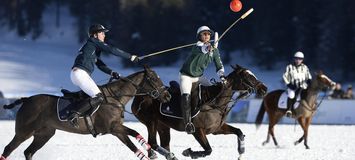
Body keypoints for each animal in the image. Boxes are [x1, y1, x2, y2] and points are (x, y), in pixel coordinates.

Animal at [0, 66, 172, 160]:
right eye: (153, 79)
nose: (168, 96)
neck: (115, 98)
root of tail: (26, 99)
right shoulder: (112, 128)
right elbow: (135, 135)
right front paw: (156, 153)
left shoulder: (117, 130)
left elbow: (134, 140)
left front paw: (157, 153)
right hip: (24, 131)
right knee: (8, 149)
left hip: (44, 134)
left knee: (28, 152)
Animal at [132, 64, 268, 159]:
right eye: (248, 76)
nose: (264, 89)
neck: (215, 103)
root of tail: (140, 94)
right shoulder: (197, 130)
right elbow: (208, 150)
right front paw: (188, 152)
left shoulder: (216, 129)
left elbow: (239, 131)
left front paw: (241, 152)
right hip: (151, 121)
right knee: (152, 143)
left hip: (163, 126)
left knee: (164, 144)